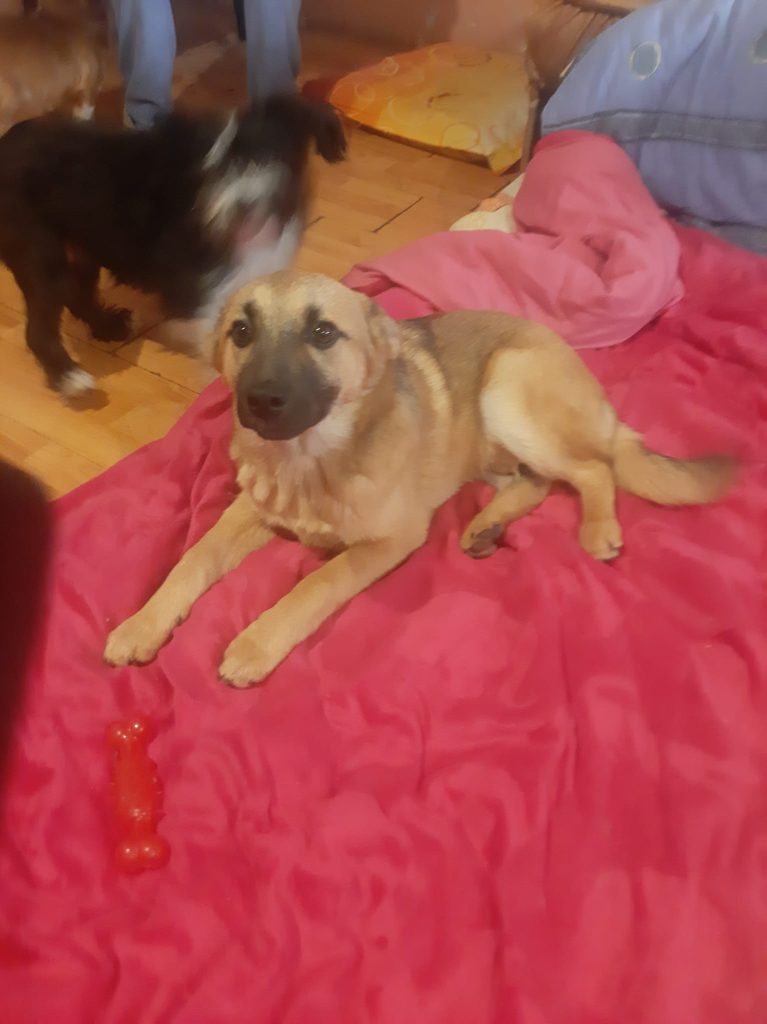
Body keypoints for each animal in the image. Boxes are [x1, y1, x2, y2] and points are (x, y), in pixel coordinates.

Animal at [0, 93, 346, 396]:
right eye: (209, 171)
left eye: (263, 156)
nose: (243, 207)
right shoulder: (198, 290)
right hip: (40, 253)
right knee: (39, 327)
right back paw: (69, 377)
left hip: (80, 248)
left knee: (78, 294)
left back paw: (108, 326)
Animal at [104, 271, 735, 687]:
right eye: (241, 332)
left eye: (323, 334)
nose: (258, 402)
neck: (313, 461)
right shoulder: (248, 512)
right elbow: (192, 560)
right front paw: (143, 622)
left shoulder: (390, 541)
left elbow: (315, 584)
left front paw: (256, 642)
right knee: (536, 483)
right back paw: (486, 525)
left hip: (506, 391)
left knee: (593, 468)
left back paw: (598, 528)